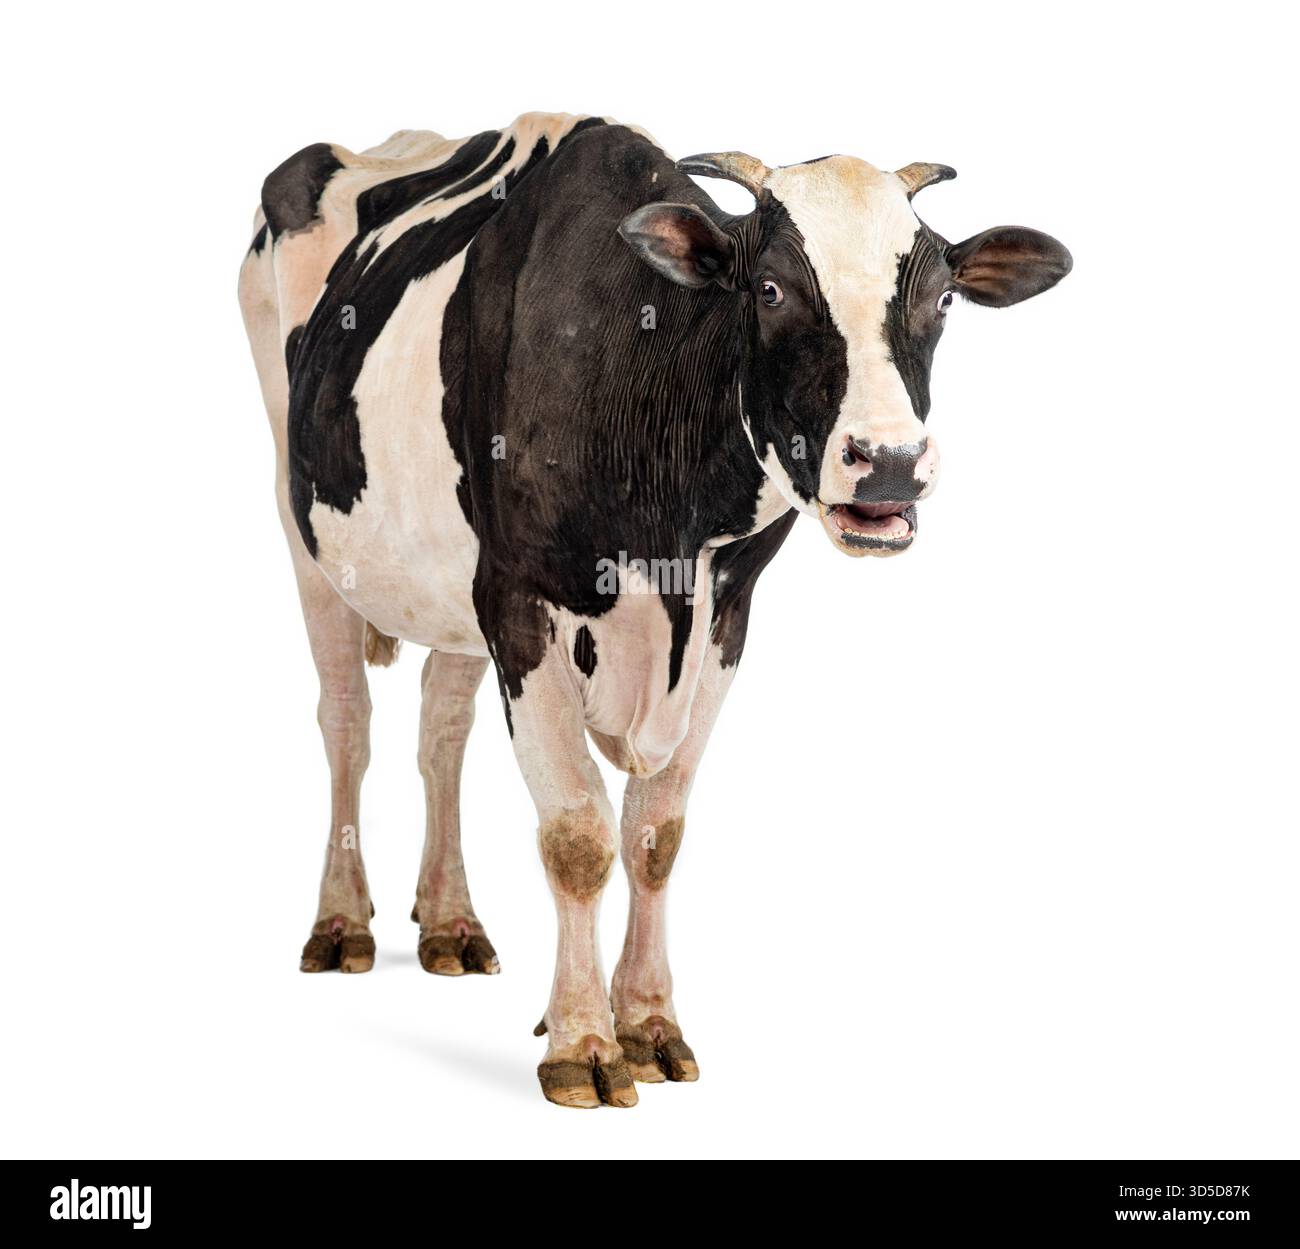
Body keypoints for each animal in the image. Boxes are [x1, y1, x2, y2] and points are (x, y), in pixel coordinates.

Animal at [238, 112, 1071, 1109]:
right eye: (770, 287)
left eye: (943, 298)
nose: (893, 462)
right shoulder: (517, 598)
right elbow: (578, 833)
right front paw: (582, 1043)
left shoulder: (724, 614)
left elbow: (656, 835)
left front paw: (646, 1023)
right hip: (303, 525)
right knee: (346, 723)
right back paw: (340, 923)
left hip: (447, 585)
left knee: (441, 730)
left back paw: (449, 922)